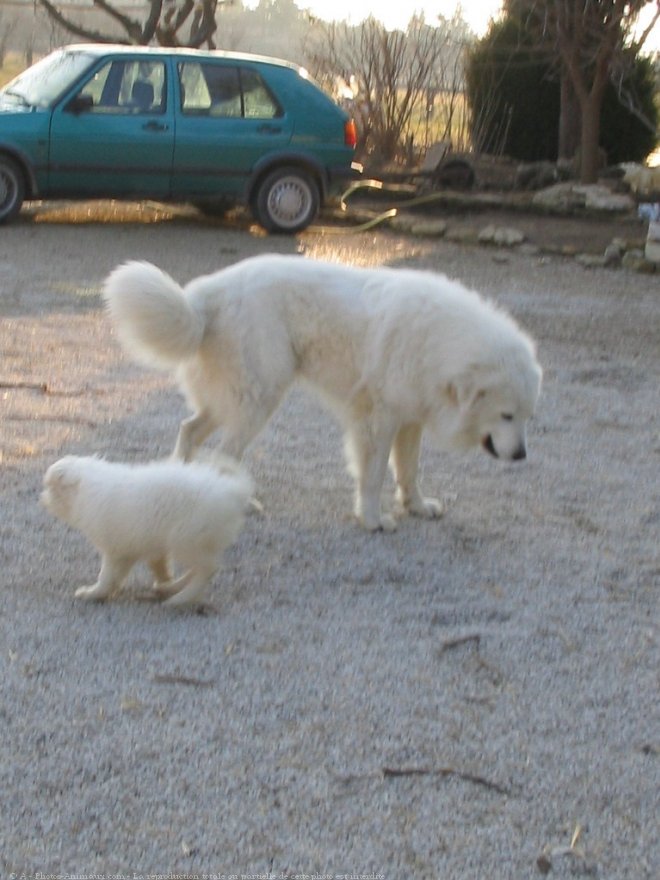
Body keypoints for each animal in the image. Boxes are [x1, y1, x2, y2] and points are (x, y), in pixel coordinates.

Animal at [41, 454, 253, 604]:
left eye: (51, 488)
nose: (42, 497)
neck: (85, 489)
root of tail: (233, 491)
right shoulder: (130, 549)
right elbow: (136, 570)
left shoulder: (114, 550)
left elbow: (106, 576)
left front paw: (92, 593)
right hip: (193, 543)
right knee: (200, 568)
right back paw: (170, 588)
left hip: (185, 539)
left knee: (209, 569)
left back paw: (180, 599)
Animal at [104, 253, 540, 528]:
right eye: (506, 415)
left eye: (526, 417)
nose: (521, 455)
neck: (442, 340)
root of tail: (206, 294)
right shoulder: (378, 420)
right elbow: (374, 474)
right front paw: (372, 520)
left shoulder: (410, 417)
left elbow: (409, 470)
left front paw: (416, 506)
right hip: (260, 398)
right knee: (223, 453)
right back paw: (238, 501)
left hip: (233, 397)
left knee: (189, 430)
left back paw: (177, 481)